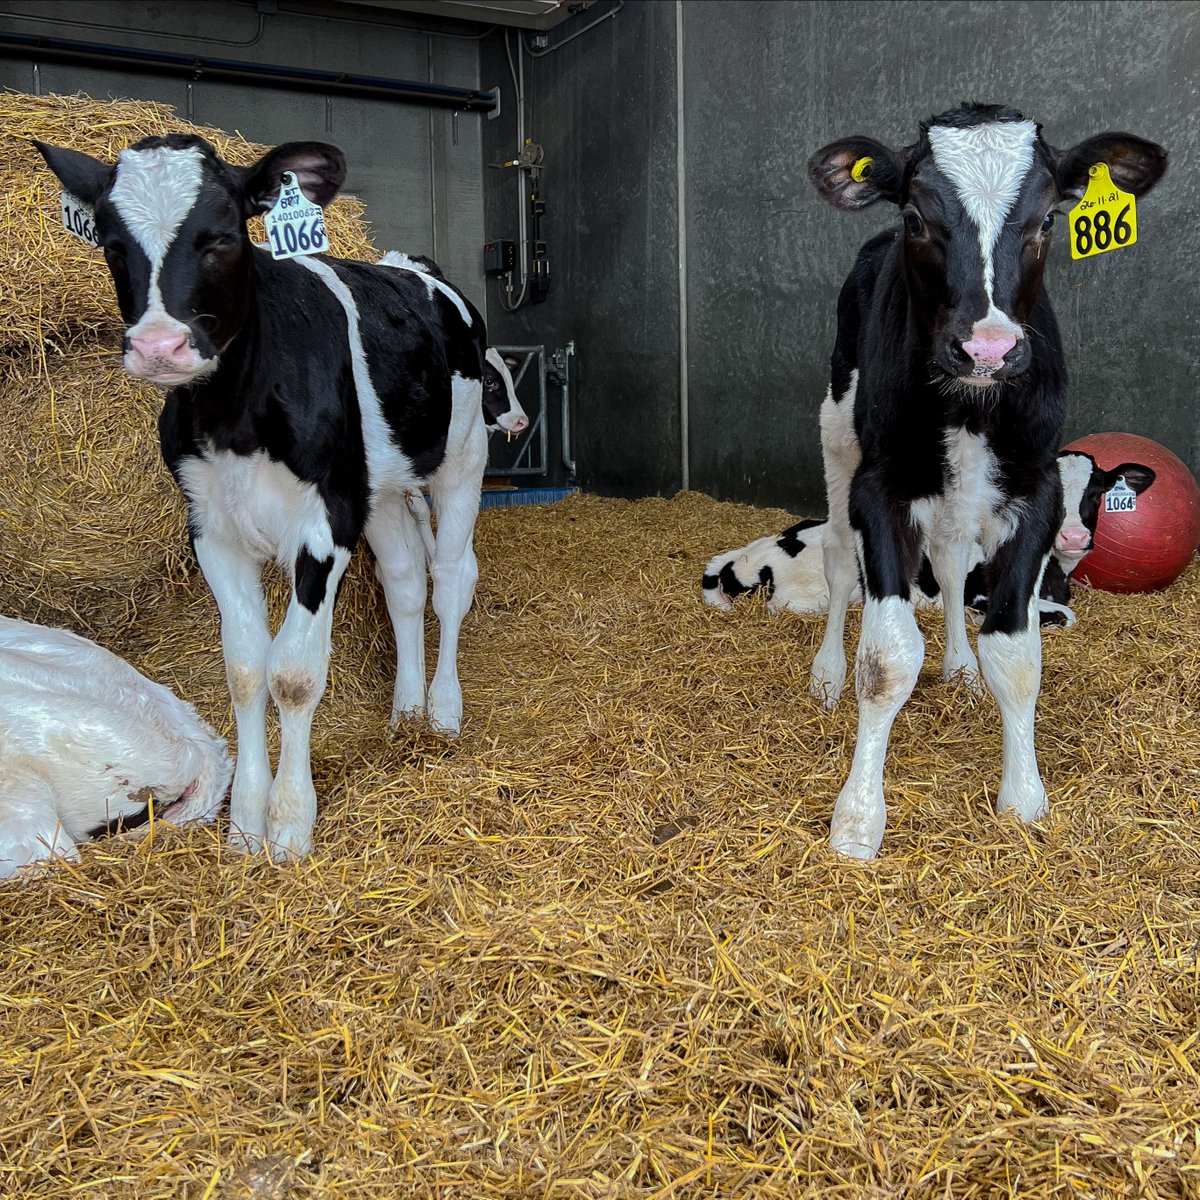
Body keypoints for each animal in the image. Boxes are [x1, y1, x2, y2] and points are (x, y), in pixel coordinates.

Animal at [35, 134, 491, 861]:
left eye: (222, 237)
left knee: (449, 579)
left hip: (462, 459)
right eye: (110, 241)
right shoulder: (213, 529)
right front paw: (246, 825)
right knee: (404, 583)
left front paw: (289, 824)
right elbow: (246, 669)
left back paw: (444, 712)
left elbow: (293, 675)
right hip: (381, 491)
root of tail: (413, 268)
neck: (235, 417)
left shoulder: (324, 523)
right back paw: (407, 710)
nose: (159, 345)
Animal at [805, 102, 1166, 858]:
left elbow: (1016, 651)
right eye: (916, 216)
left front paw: (1023, 797)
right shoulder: (880, 487)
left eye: (1050, 218)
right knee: (839, 559)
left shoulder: (1039, 492)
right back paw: (825, 674)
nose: (988, 348)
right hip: (836, 434)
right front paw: (858, 817)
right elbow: (886, 657)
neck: (971, 406)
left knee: (947, 562)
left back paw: (961, 667)